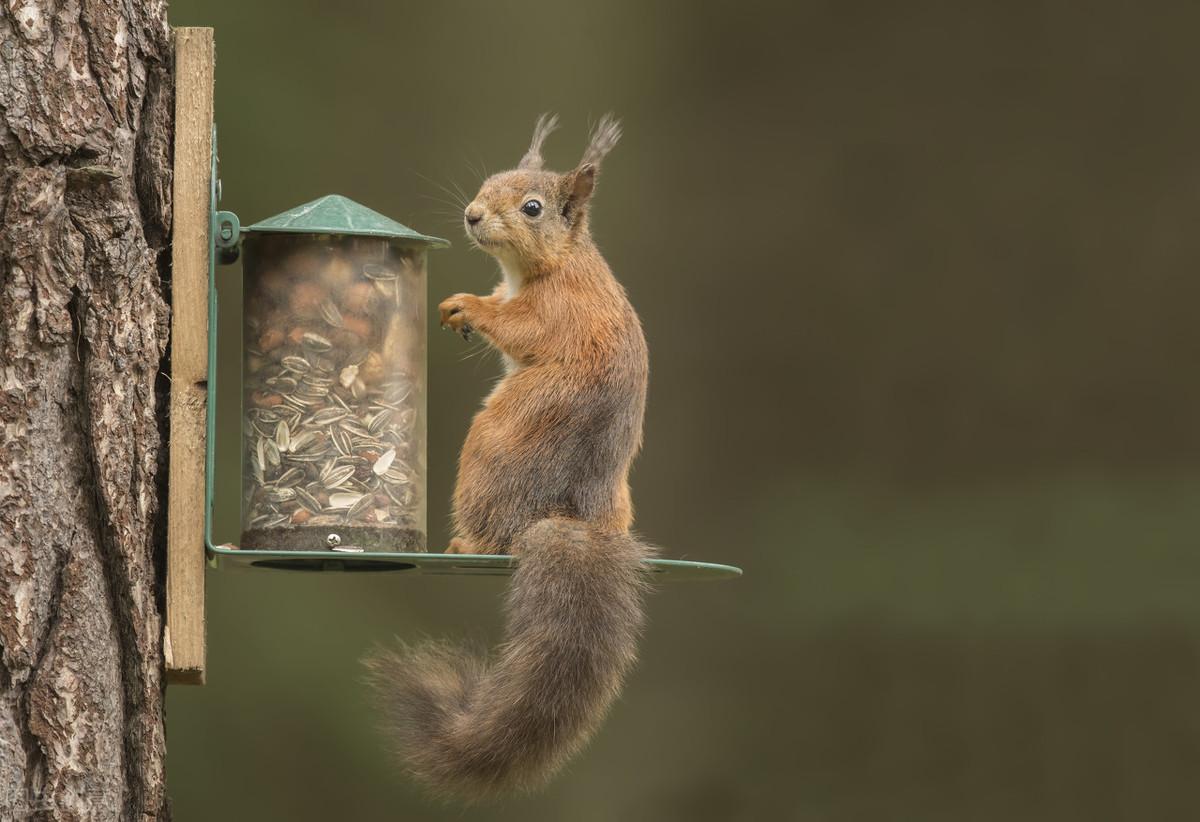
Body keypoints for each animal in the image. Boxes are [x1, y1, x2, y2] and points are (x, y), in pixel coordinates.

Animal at [364, 114, 652, 796]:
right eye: (486, 182)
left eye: (533, 208)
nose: (471, 215)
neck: (554, 265)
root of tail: (574, 517)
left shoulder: (556, 311)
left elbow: (520, 328)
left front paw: (465, 306)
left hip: (494, 444)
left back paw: (468, 545)